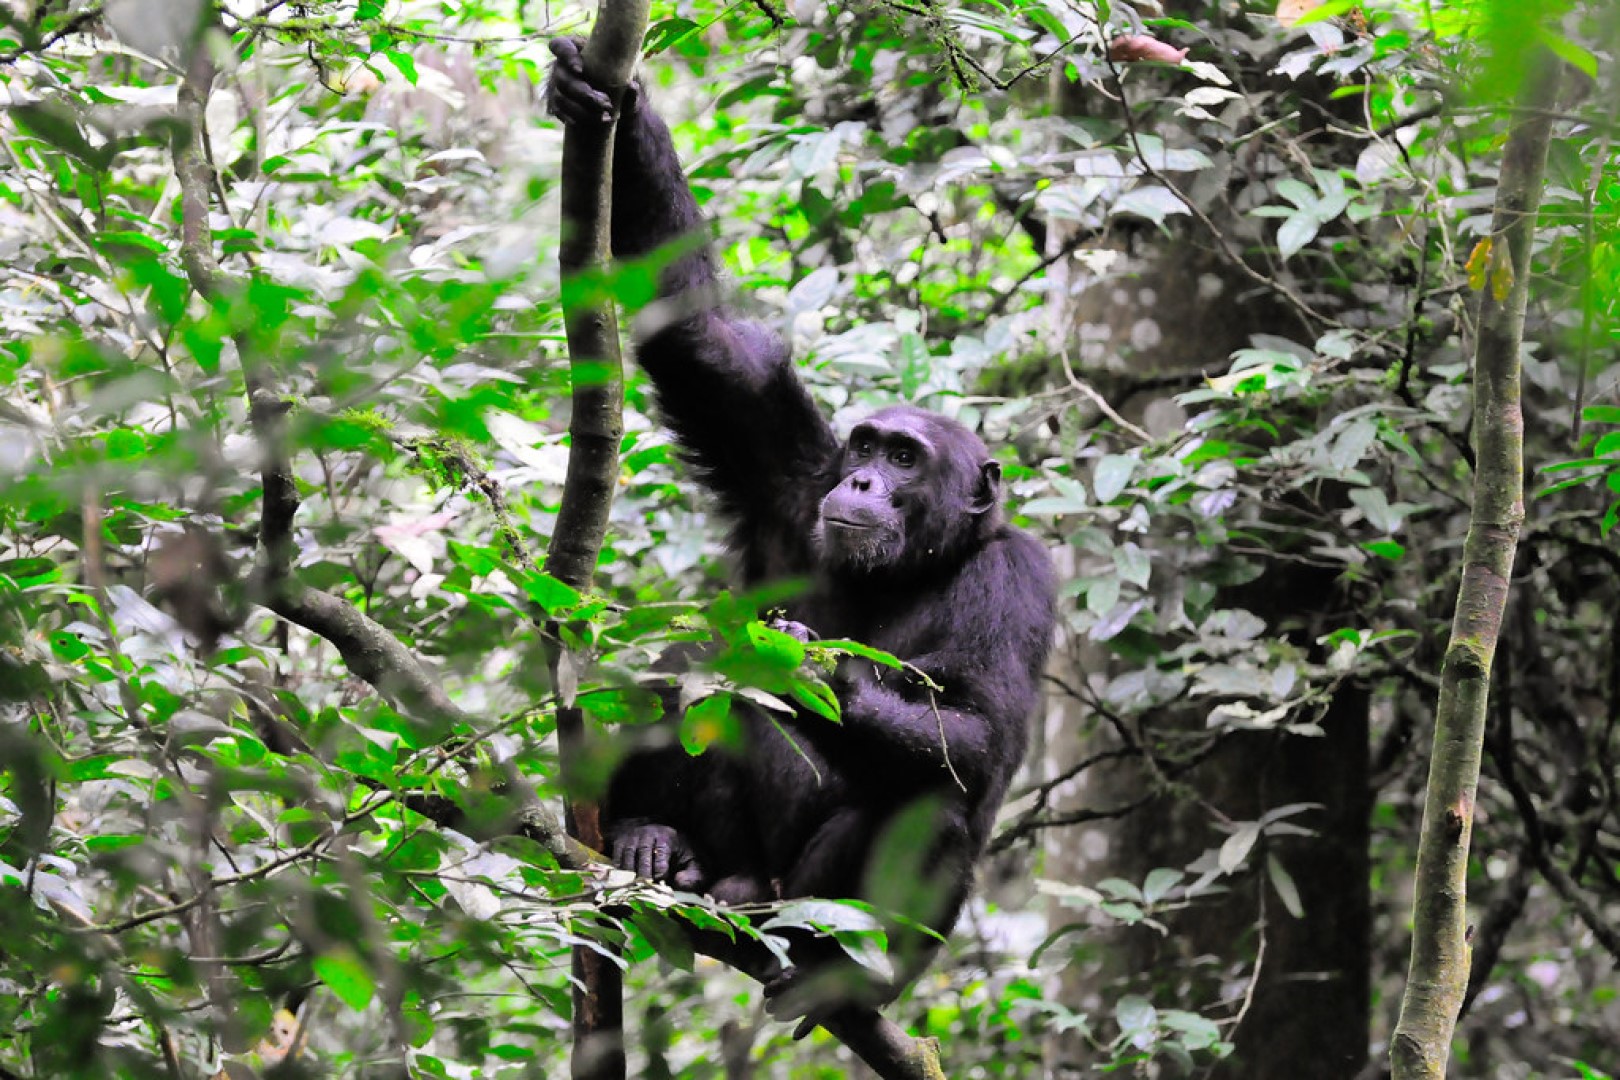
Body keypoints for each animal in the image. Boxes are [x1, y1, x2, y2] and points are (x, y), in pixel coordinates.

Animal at [544, 38, 1056, 1029]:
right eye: (865, 446)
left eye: (906, 459)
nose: (862, 480)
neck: (906, 567)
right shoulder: (786, 472)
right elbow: (695, 334)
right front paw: (597, 94)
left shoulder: (1022, 577)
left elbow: (982, 730)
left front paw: (819, 666)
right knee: (685, 677)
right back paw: (656, 841)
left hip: (822, 902)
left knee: (930, 810)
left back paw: (839, 971)